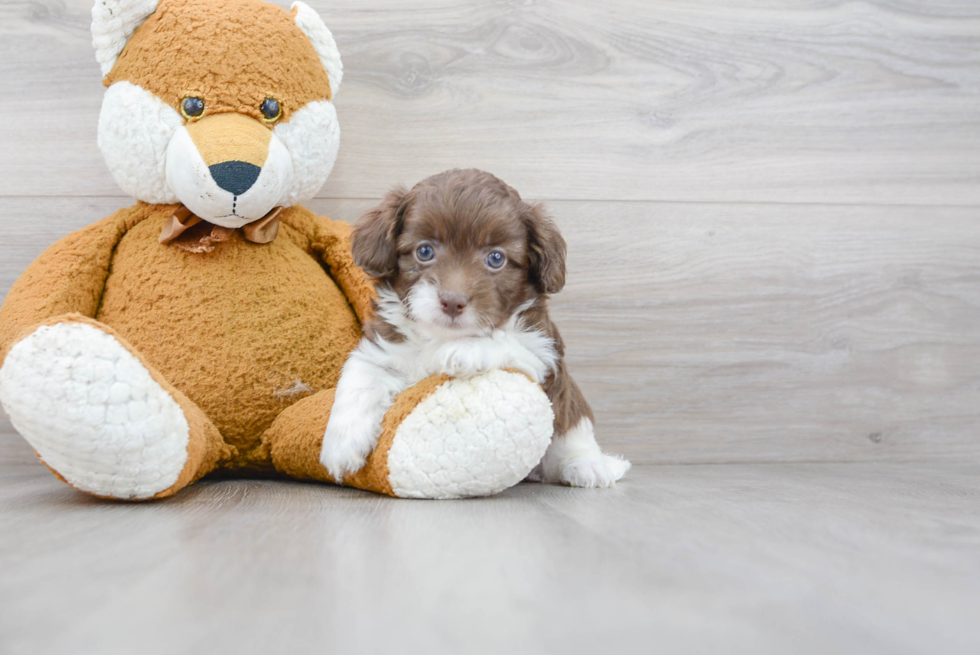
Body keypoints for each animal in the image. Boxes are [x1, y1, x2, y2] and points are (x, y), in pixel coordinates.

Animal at [318, 169, 632, 486]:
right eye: (424, 251)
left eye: (496, 258)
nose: (452, 301)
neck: (439, 336)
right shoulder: (383, 347)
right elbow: (360, 377)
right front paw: (340, 447)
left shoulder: (543, 357)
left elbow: (505, 339)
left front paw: (464, 350)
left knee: (575, 430)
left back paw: (588, 466)